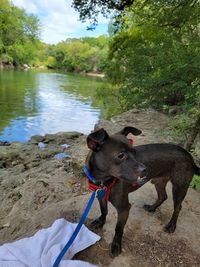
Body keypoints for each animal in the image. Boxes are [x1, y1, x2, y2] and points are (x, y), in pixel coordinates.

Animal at [85, 127, 200, 258]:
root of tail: (190, 156)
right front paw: (100, 222)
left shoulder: (124, 208)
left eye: (134, 152)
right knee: (163, 196)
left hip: (179, 187)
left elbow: (118, 229)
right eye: (120, 155)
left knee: (178, 207)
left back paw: (172, 225)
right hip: (159, 182)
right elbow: (104, 211)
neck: (104, 181)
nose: (144, 169)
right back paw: (152, 207)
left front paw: (116, 245)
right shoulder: (101, 197)